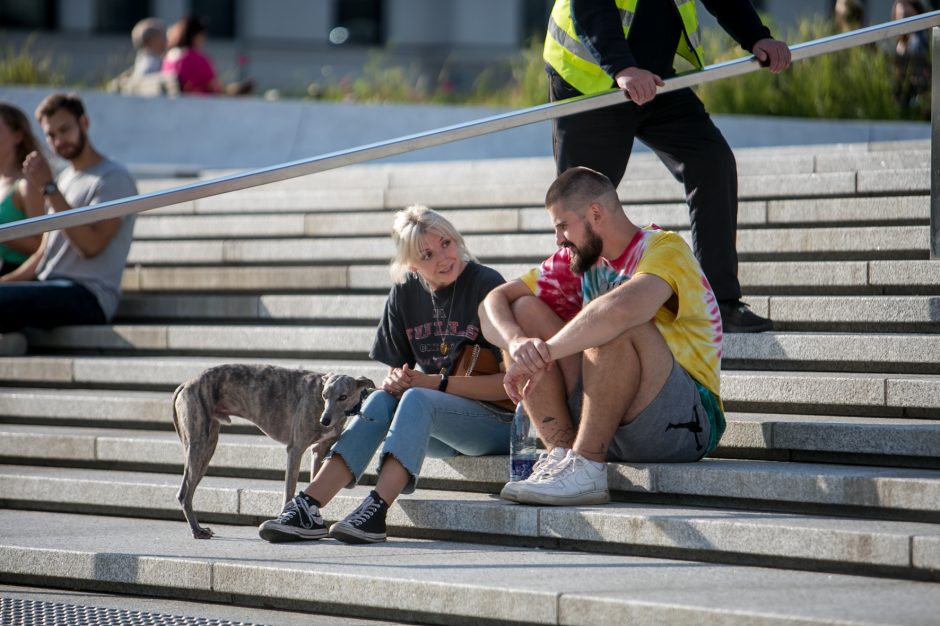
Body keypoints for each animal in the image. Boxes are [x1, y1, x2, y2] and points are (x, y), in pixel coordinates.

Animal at [171, 364, 372, 540]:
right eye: (325, 395)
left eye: (343, 396)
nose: (325, 421)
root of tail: (186, 383)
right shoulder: (295, 449)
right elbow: (289, 491)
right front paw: (284, 520)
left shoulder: (319, 451)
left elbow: (316, 481)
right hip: (199, 443)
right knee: (184, 494)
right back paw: (197, 531)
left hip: (208, 446)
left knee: (185, 491)